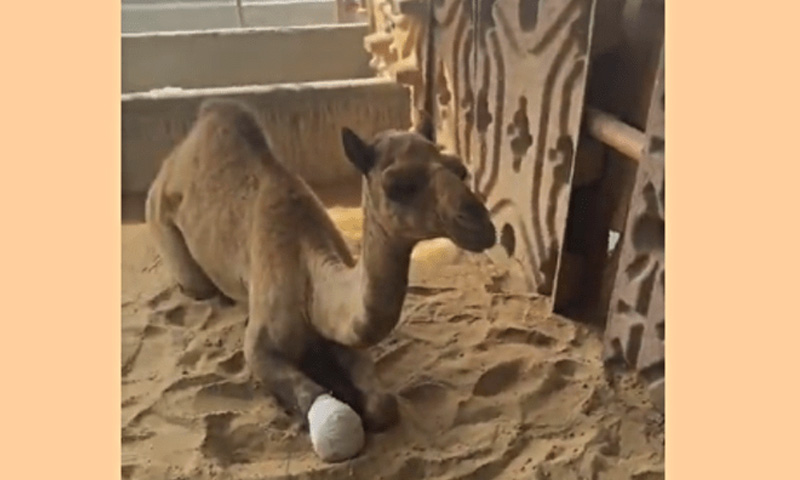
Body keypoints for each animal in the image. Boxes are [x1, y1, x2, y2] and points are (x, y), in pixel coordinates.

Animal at [145, 98, 497, 446]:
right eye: (397, 186)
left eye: (460, 169)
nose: (480, 224)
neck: (308, 278)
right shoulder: (259, 347)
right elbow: (326, 409)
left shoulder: (345, 335)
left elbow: (382, 404)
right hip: (163, 224)